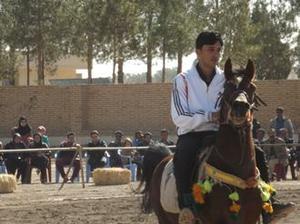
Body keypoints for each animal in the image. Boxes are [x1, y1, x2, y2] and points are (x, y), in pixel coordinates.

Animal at [137, 58, 266, 223]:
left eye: (252, 87)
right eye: (226, 87)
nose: (240, 107)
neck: (237, 172)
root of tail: (162, 160)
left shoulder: (250, 218)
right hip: (164, 218)